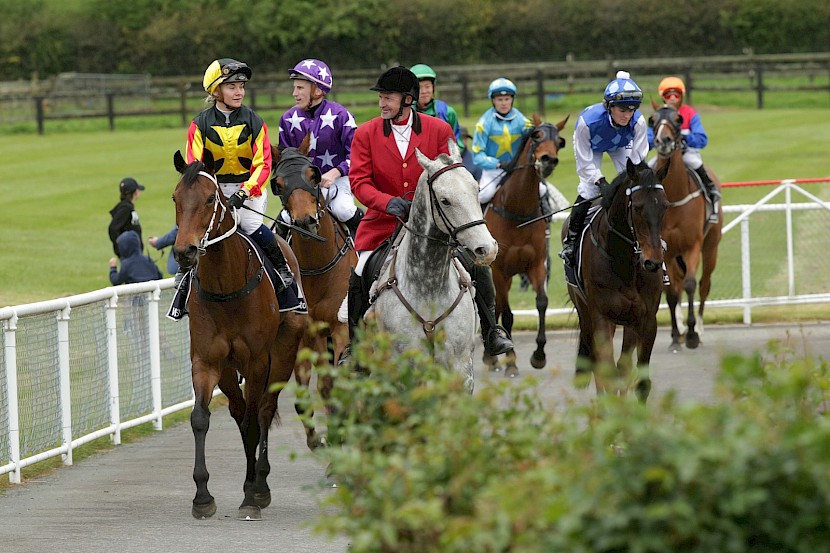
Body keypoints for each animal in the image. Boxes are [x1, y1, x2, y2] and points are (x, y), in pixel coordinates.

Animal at [172, 150, 308, 516]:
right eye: (175, 198)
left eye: (209, 198)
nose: (184, 251)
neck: (227, 289)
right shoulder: (207, 361)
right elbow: (200, 418)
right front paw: (202, 495)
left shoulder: (258, 360)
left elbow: (254, 419)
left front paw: (253, 493)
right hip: (229, 371)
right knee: (238, 410)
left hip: (284, 353)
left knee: (263, 410)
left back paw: (259, 483)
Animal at [270, 146, 354, 448]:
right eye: (279, 183)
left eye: (313, 176)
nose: (306, 221)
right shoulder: (309, 333)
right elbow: (319, 386)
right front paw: (320, 436)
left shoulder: (341, 327)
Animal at [484, 113, 568, 380]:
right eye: (536, 135)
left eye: (559, 141)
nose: (548, 160)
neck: (517, 212)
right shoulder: (499, 271)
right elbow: (508, 314)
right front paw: (511, 361)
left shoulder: (536, 265)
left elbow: (541, 303)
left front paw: (539, 355)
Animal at [564, 157, 672, 398]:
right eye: (638, 208)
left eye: (664, 206)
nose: (653, 262)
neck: (624, 262)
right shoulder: (601, 317)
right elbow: (608, 372)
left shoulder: (646, 319)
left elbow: (638, 380)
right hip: (586, 314)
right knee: (598, 363)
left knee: (623, 366)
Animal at [648, 101, 720, 352]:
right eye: (652, 119)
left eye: (679, 119)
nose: (664, 141)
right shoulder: (666, 251)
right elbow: (671, 293)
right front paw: (675, 335)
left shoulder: (693, 246)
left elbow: (690, 285)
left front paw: (691, 334)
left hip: (711, 247)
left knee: (705, 284)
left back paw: (699, 328)